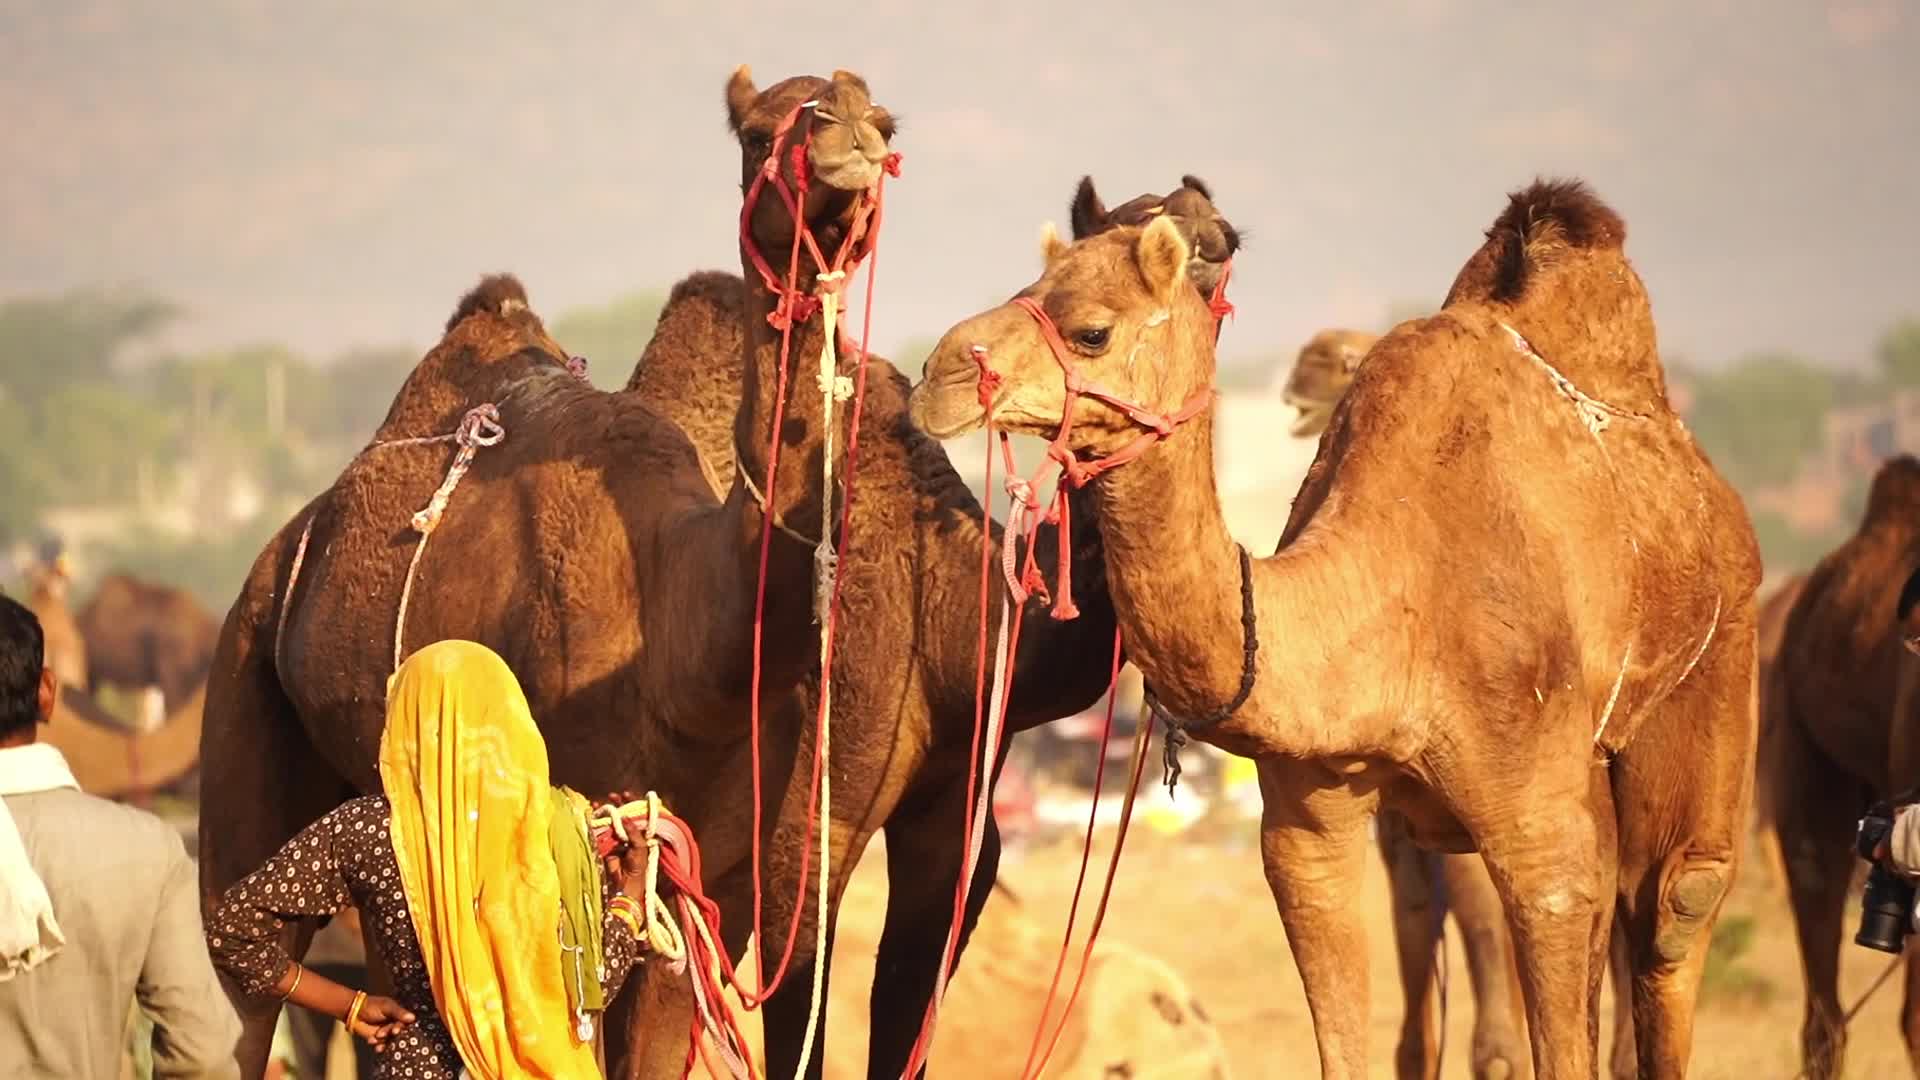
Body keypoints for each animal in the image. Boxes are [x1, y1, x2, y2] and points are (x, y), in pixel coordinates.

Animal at [199, 67, 900, 1076]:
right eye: (758, 130)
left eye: (883, 117)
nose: (851, 138)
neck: (685, 651)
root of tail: (274, 558)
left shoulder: (705, 877)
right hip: (242, 680)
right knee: (245, 1001)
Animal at [624, 170, 1238, 1078]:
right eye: (1051, 290)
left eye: (1224, 241)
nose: (952, 367)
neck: (946, 620)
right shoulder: (810, 819)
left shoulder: (956, 825)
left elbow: (907, 1012)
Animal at [909, 178, 1761, 1078]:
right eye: (1029, 288)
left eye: (1091, 332)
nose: (939, 372)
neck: (1388, 603)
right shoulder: (1307, 833)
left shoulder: (1538, 829)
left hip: (1718, 651)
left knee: (1674, 899)